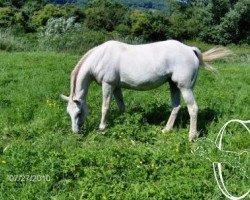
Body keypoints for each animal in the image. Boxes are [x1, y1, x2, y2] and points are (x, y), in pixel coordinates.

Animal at [60, 39, 230, 141]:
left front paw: (102, 127)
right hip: (173, 85)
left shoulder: (108, 85)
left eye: (79, 113)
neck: (101, 57)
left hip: (185, 87)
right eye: (69, 113)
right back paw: (166, 130)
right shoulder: (116, 86)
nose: (75, 132)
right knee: (176, 107)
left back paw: (191, 137)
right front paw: (125, 121)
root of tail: (190, 49)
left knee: (193, 108)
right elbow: (121, 106)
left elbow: (105, 106)